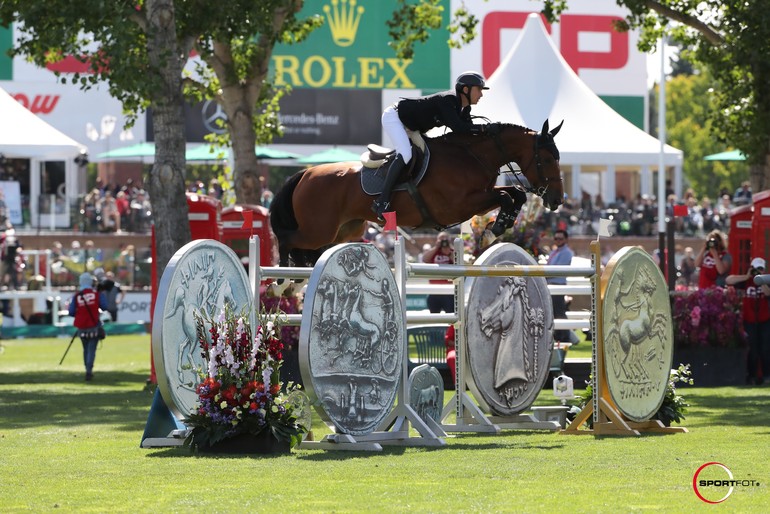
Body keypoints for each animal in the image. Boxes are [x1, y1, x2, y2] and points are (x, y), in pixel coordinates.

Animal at [272, 118, 560, 266]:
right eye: (547, 159)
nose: (557, 200)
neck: (469, 154)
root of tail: (305, 174)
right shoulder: (458, 205)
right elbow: (505, 196)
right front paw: (494, 228)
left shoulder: (481, 194)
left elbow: (514, 193)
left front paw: (500, 224)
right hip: (318, 230)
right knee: (286, 240)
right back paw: (282, 281)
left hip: (344, 230)